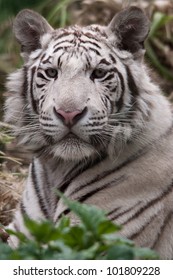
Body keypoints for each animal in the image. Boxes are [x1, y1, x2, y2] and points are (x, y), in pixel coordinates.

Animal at [3, 6, 173, 260]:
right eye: (51, 72)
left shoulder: (90, 238)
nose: (68, 114)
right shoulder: (23, 234)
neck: (57, 168)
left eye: (99, 73)